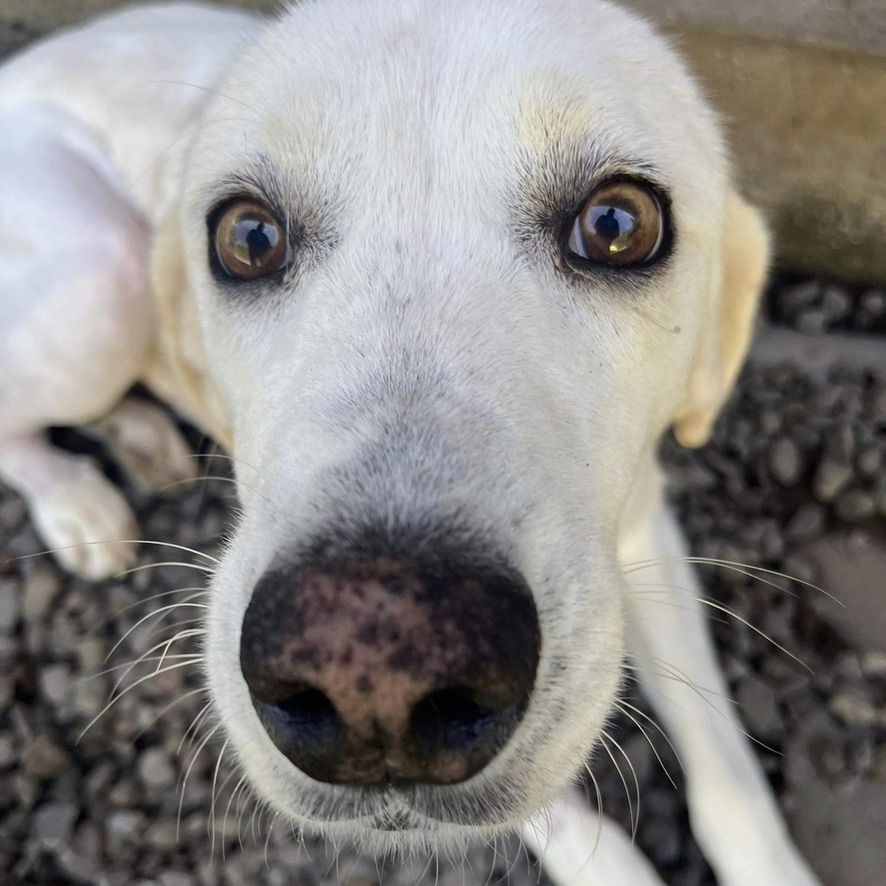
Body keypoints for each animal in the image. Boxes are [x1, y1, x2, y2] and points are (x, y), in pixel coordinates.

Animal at [0, 1, 824, 886]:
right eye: (248, 237)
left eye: (617, 225)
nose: (374, 674)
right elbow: (555, 814)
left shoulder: (640, 532)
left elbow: (729, 776)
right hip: (104, 284)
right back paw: (74, 499)